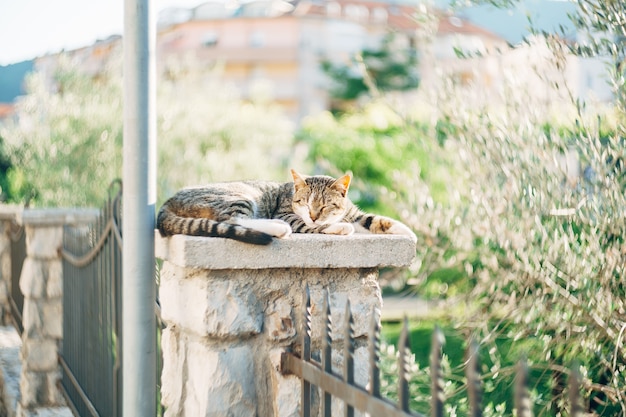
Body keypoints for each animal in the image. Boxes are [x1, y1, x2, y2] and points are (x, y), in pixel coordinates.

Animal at [157, 167, 414, 244]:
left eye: (324, 206)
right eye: (305, 204)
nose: (313, 215)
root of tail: (168, 200)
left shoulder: (354, 213)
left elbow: (375, 219)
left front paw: (406, 231)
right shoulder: (288, 214)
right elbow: (312, 227)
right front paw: (339, 227)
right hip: (239, 197)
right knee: (234, 220)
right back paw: (277, 228)